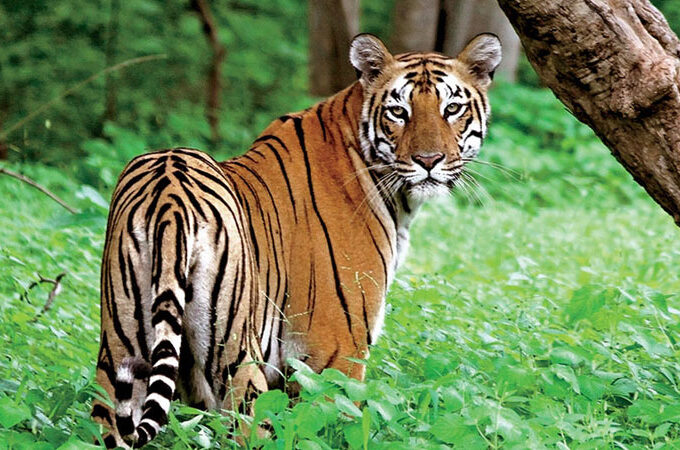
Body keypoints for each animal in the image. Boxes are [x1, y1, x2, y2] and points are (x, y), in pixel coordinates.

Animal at [91, 33, 501, 448]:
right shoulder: (335, 352)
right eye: (399, 112)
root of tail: (169, 194)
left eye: (452, 108)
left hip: (120, 350)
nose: (429, 160)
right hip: (236, 357)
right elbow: (339, 426)